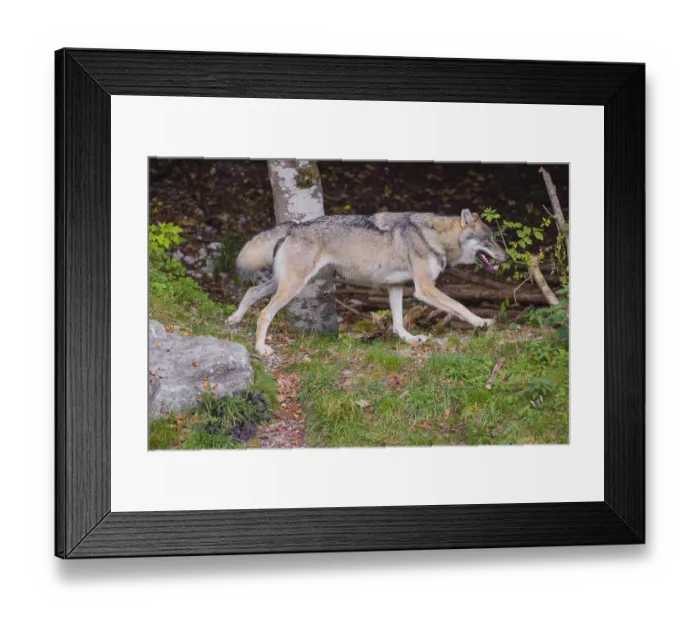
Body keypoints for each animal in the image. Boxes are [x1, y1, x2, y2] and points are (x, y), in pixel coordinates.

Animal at [226, 209, 509, 356]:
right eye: (489, 239)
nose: (507, 258)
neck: (432, 237)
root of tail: (294, 226)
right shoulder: (425, 288)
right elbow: (460, 306)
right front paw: (481, 322)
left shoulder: (396, 286)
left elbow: (397, 323)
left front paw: (410, 339)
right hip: (292, 286)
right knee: (265, 312)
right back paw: (260, 348)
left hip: (283, 283)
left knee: (251, 292)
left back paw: (234, 319)